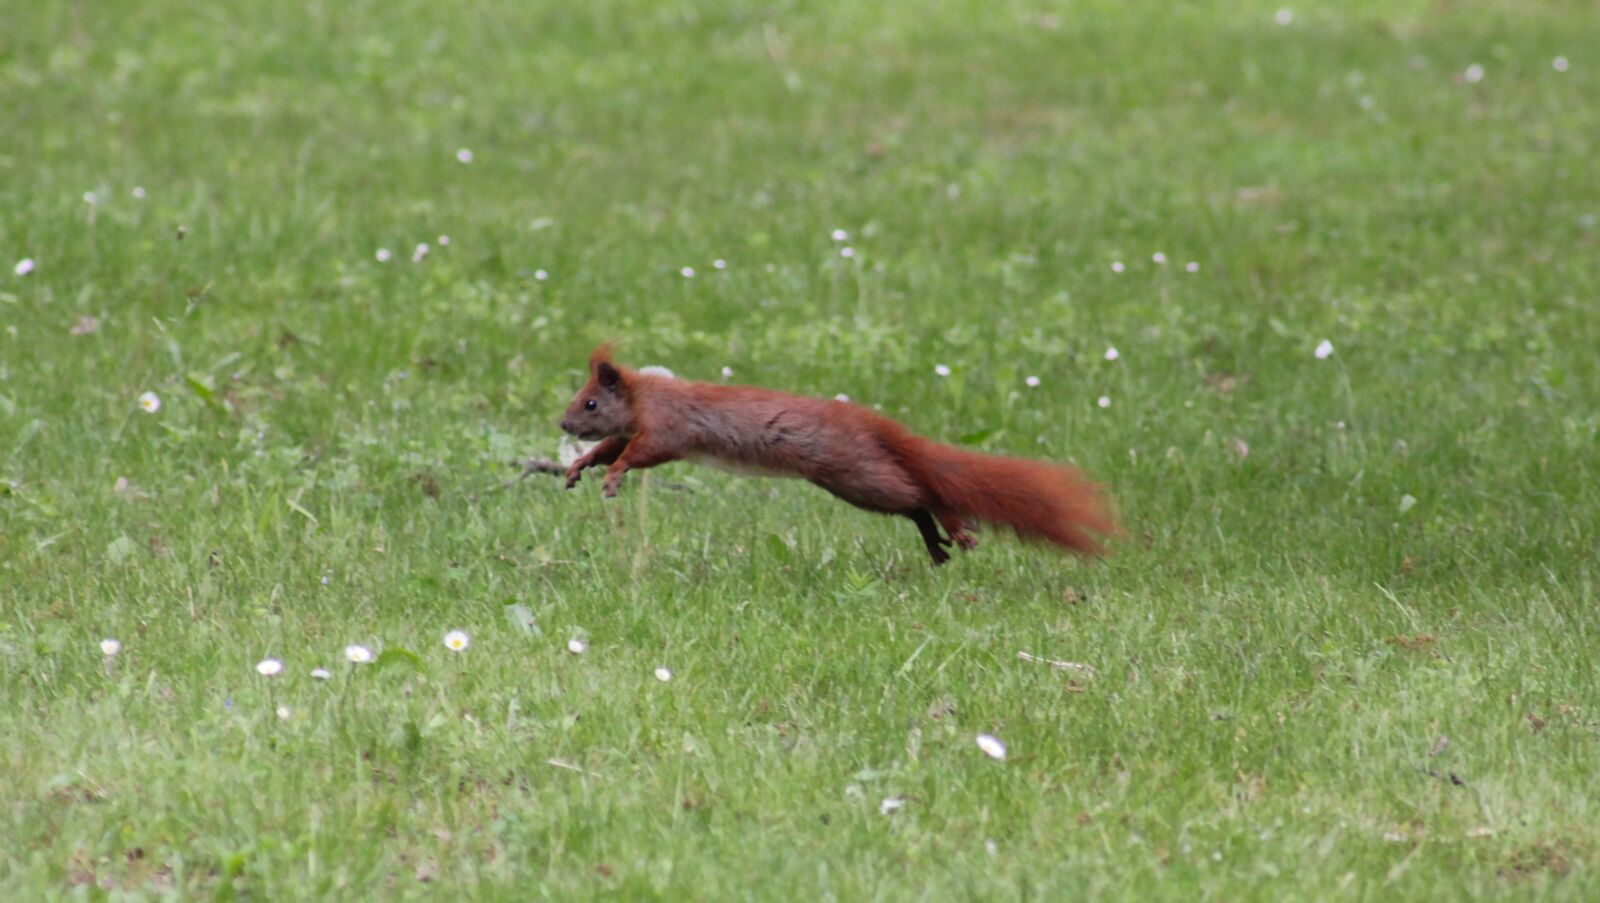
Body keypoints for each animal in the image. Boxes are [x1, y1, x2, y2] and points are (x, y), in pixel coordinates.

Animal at [559, 345, 1116, 565]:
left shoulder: (669, 428)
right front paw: (579, 466)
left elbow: (639, 453)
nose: (563, 425)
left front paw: (614, 476)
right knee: (916, 503)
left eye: (590, 402)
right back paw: (936, 546)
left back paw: (952, 529)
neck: (645, 396)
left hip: (856, 474)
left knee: (922, 493)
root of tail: (869, 424)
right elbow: (612, 446)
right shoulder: (637, 428)